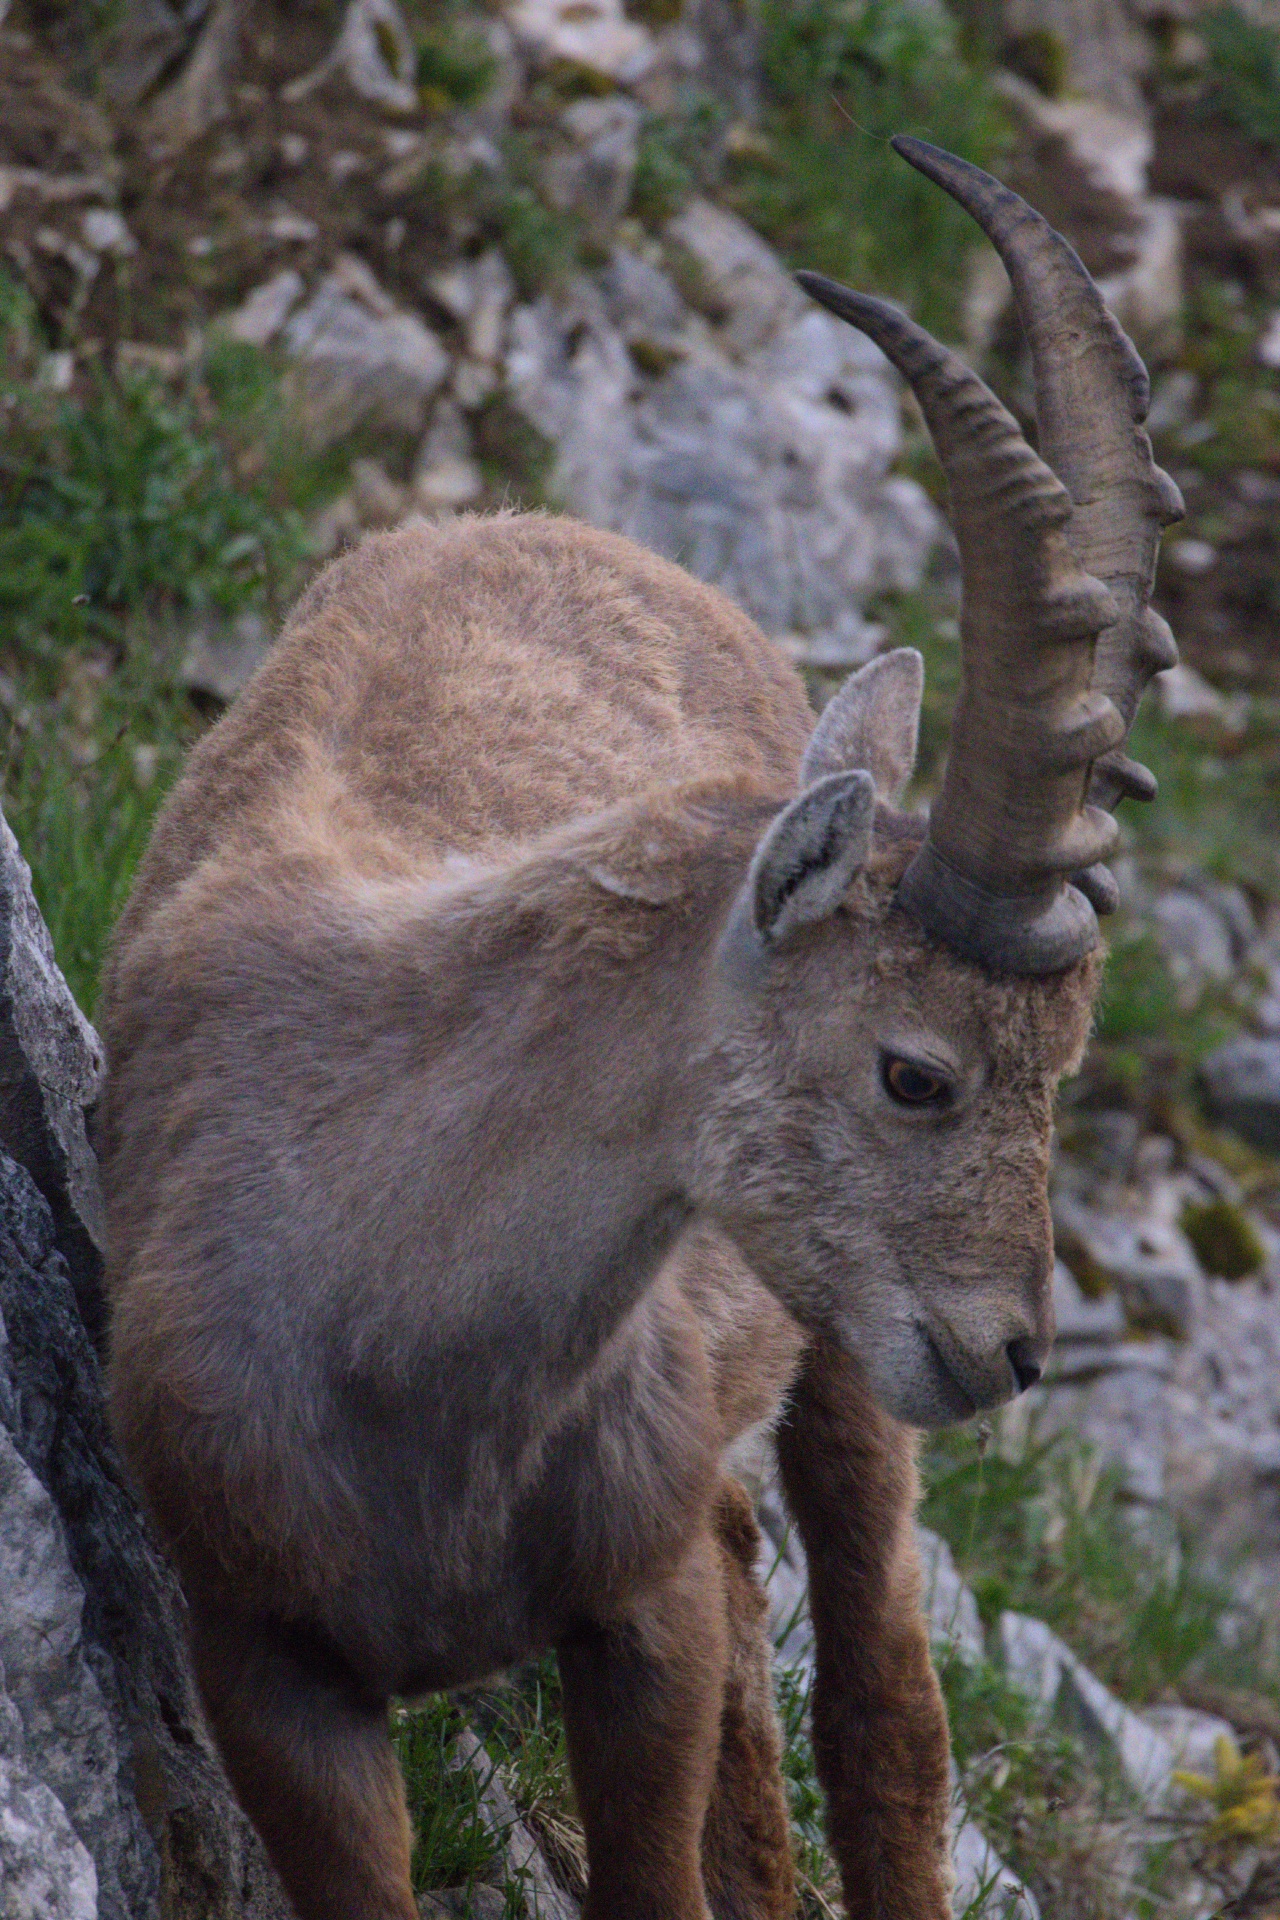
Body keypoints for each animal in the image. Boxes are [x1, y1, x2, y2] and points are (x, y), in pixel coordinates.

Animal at [98, 140, 1181, 1920]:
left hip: (841, 1374)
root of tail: (575, 530)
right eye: (916, 1072)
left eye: (1066, 1070)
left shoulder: (635, 1618)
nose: (1016, 1351)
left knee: (882, 1692)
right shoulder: (263, 1653)